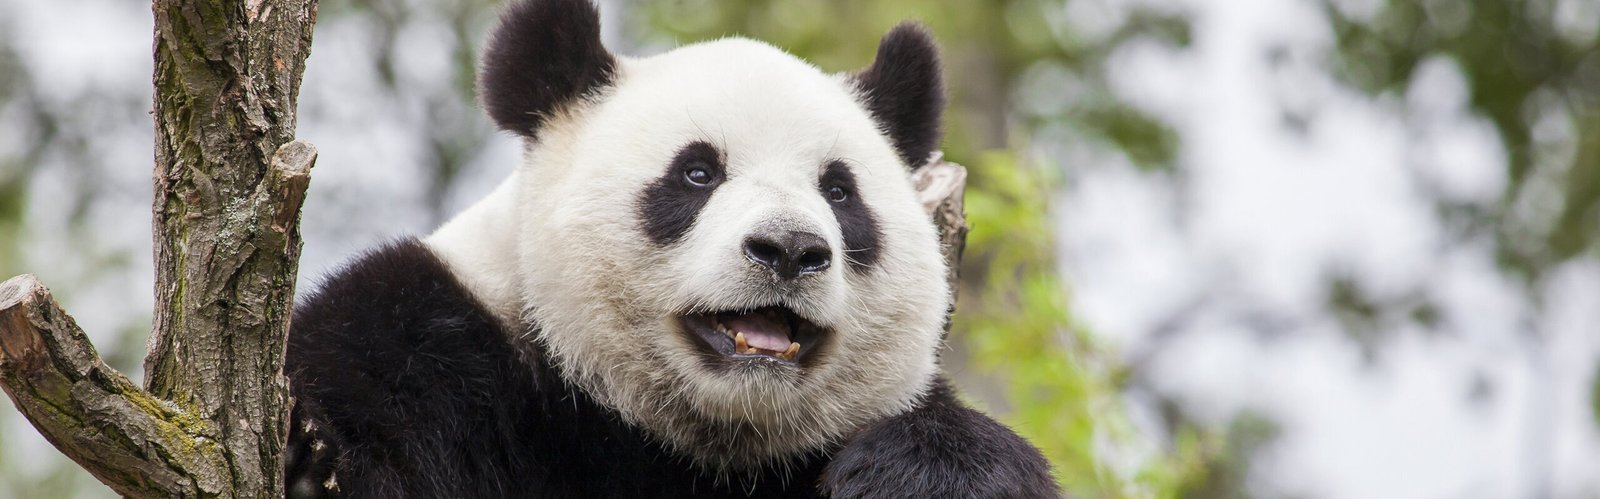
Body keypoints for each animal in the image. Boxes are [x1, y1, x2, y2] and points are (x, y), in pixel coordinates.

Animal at [283, 0, 1059, 497]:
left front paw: (908, 474)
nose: (788, 248)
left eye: (840, 191)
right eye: (697, 173)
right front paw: (312, 463)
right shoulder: (433, 350)